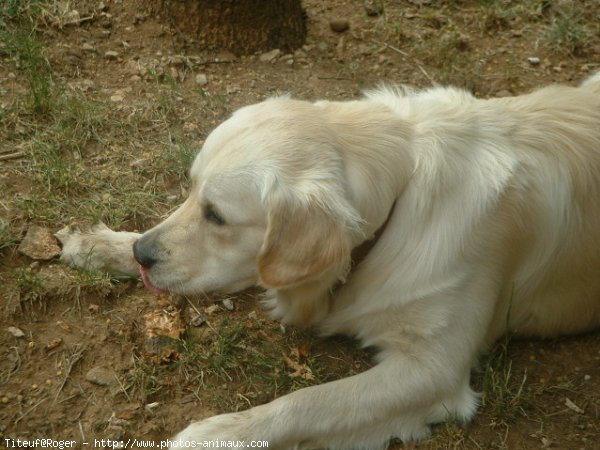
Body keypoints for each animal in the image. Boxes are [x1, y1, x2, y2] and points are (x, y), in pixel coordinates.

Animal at [59, 73, 600, 446]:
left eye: (217, 216)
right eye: (191, 191)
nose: (143, 255)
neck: (401, 190)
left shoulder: (433, 369)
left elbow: (308, 402)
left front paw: (222, 433)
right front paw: (103, 245)